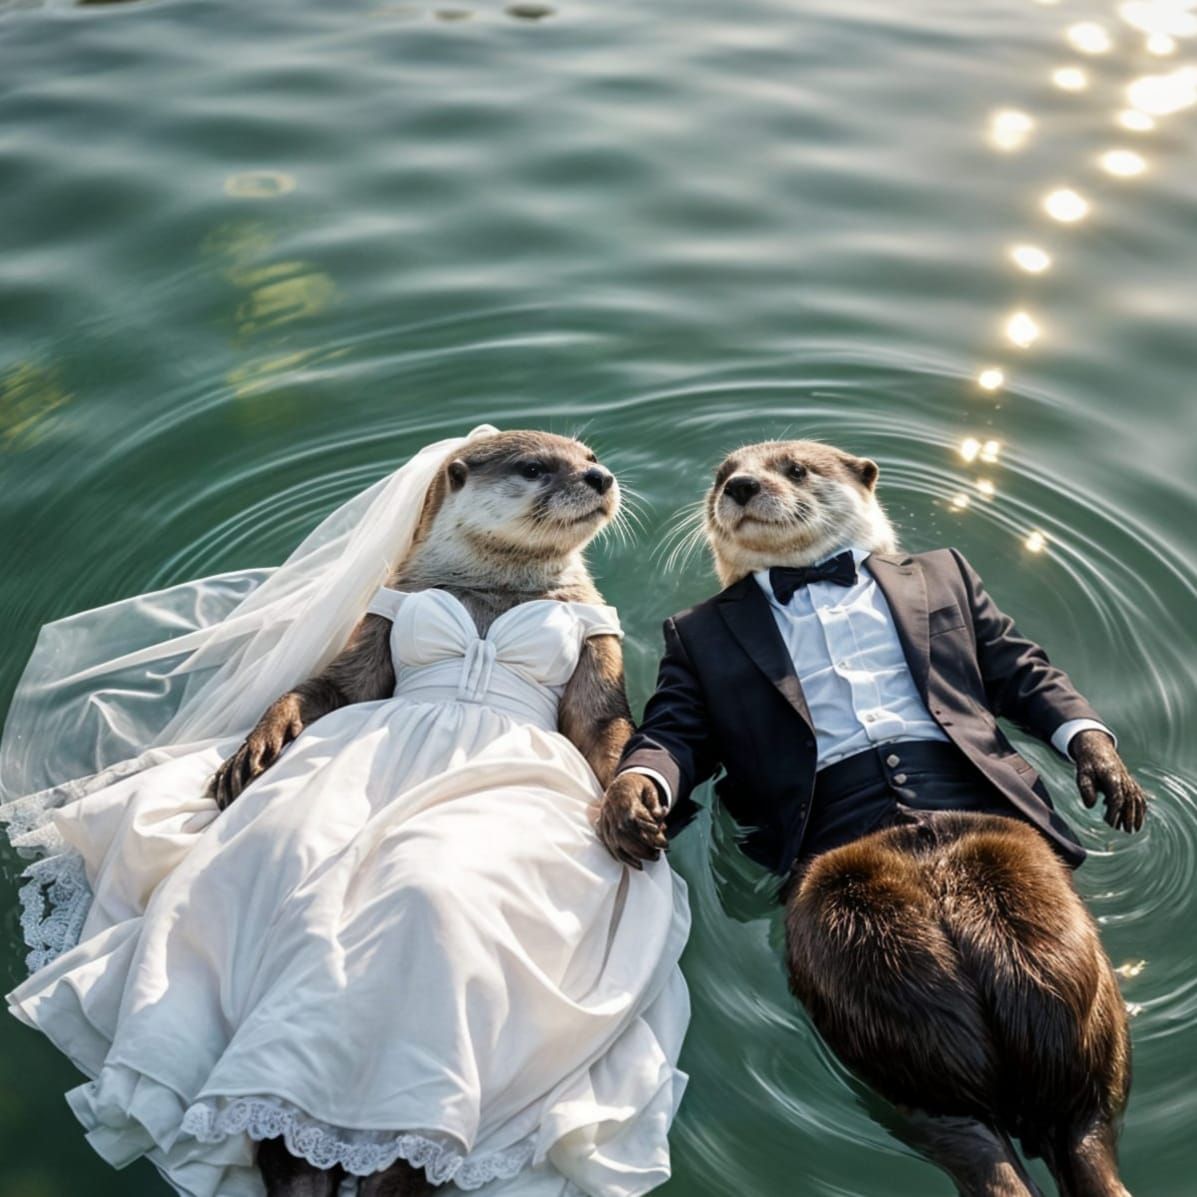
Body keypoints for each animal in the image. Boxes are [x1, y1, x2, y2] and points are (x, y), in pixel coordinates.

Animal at [208, 429, 634, 1197]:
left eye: (588, 455)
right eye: (536, 467)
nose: (600, 476)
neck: (493, 596)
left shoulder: (596, 633)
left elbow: (603, 731)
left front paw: (631, 804)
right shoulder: (385, 613)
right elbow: (336, 689)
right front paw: (261, 739)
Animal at [602, 438, 1145, 1197]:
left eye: (794, 467)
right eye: (721, 475)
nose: (739, 486)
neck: (814, 583)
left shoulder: (975, 603)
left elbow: (1021, 666)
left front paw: (1103, 766)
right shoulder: (686, 654)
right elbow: (676, 728)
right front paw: (631, 802)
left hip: (1025, 917)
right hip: (874, 964)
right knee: (984, 1127)